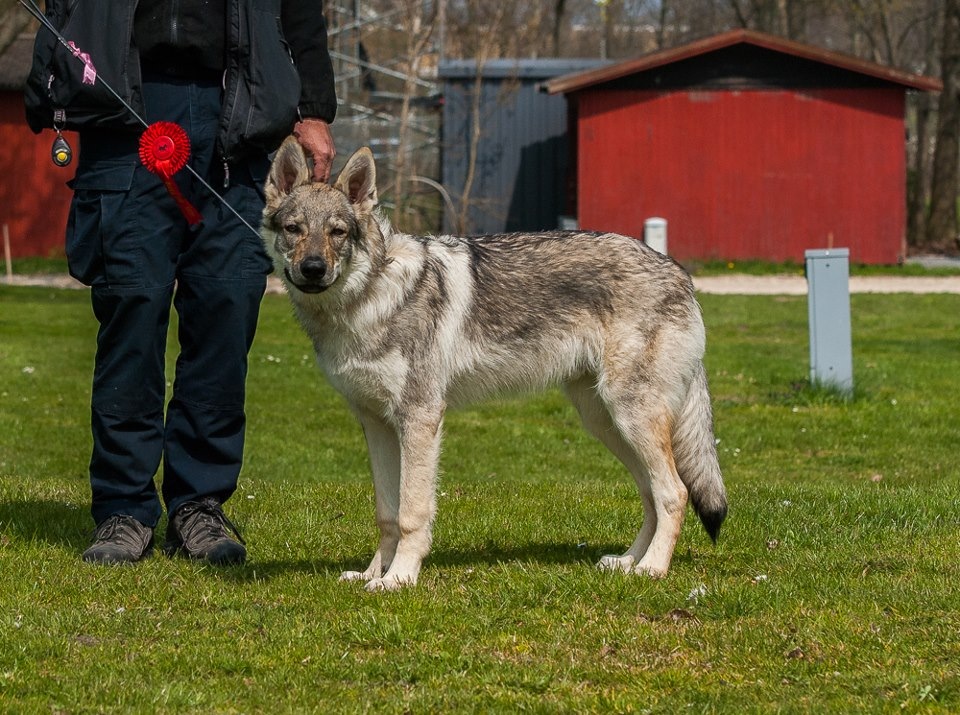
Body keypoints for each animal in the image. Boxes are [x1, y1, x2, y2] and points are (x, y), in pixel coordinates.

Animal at [262, 140, 728, 592]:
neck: (368, 299)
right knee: (651, 493)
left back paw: (653, 569)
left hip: (630, 416)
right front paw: (370, 574)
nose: (313, 269)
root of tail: (679, 272)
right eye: (294, 229)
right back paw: (628, 563)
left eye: (337, 232)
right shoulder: (375, 424)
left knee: (675, 492)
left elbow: (412, 512)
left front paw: (399, 578)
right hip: (606, 422)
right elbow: (387, 514)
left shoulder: (420, 418)